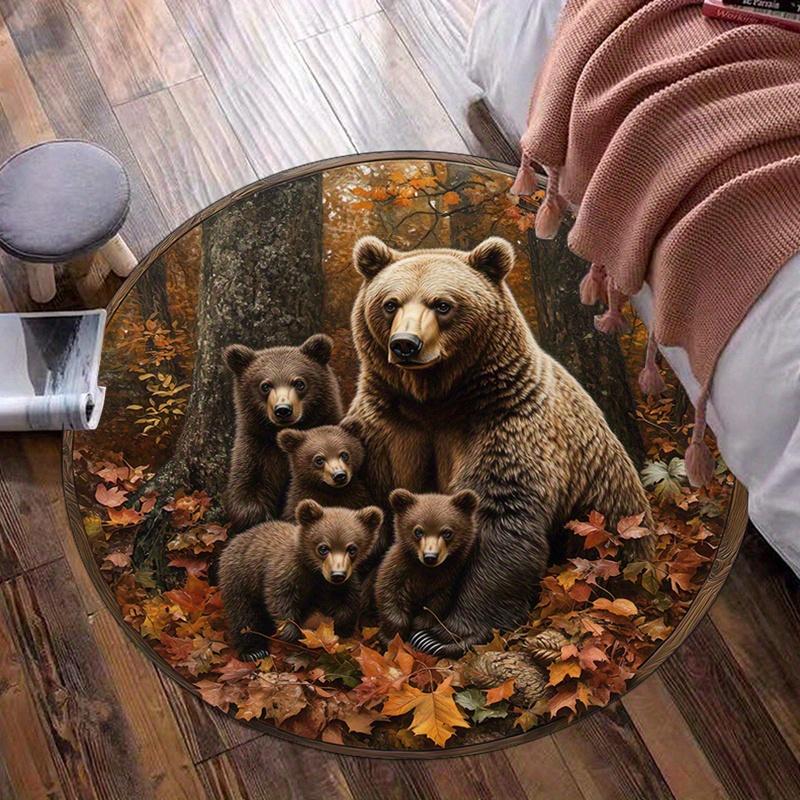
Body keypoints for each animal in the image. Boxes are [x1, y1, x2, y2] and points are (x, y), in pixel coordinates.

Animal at [218, 499, 383, 660]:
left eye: (352, 549)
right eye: (323, 548)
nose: (337, 575)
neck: (315, 572)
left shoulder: (340, 584)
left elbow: (347, 602)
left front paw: (341, 627)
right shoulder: (287, 572)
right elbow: (280, 600)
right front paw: (291, 633)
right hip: (240, 580)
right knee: (243, 615)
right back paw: (253, 650)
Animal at [375, 488, 479, 648]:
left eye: (447, 532)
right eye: (418, 531)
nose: (430, 556)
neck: (426, 571)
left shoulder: (447, 578)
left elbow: (437, 605)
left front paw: (419, 625)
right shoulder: (398, 570)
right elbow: (388, 594)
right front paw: (391, 636)